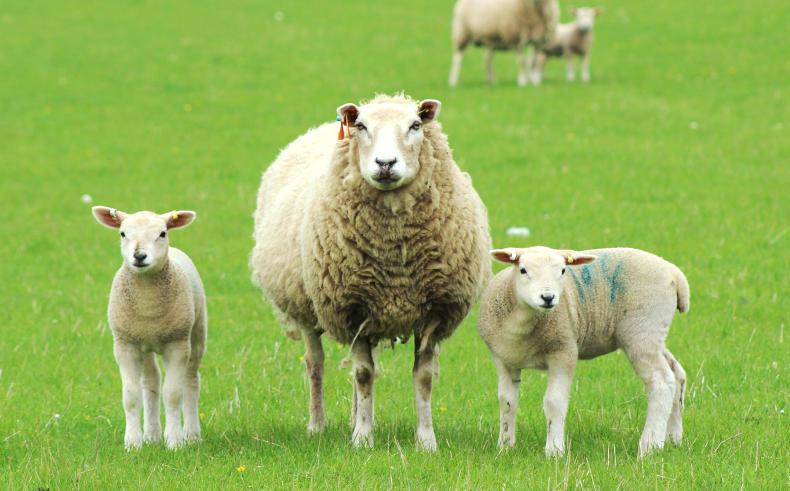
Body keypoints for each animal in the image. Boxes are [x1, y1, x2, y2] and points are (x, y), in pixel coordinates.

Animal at [92, 206, 207, 450]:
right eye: (123, 233)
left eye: (162, 233)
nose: (139, 256)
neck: (148, 307)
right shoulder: (125, 345)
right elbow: (131, 395)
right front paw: (133, 443)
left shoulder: (177, 344)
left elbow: (173, 394)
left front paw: (175, 442)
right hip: (144, 344)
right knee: (151, 382)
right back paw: (152, 435)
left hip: (196, 333)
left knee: (191, 381)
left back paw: (192, 435)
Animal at [251, 94, 491, 451]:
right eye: (362, 126)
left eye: (415, 125)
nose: (385, 163)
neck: (395, 260)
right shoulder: (352, 308)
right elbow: (363, 374)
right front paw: (363, 440)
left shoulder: (433, 312)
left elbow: (420, 377)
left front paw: (425, 440)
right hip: (308, 307)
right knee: (316, 364)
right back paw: (317, 425)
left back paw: (354, 418)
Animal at [477, 246, 689, 457]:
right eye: (523, 270)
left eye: (563, 271)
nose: (548, 298)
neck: (521, 324)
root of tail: (675, 273)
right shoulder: (503, 359)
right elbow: (507, 402)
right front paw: (505, 446)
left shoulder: (564, 351)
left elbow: (554, 402)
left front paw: (554, 451)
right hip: (653, 337)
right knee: (677, 374)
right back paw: (673, 438)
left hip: (642, 331)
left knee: (662, 381)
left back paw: (650, 446)